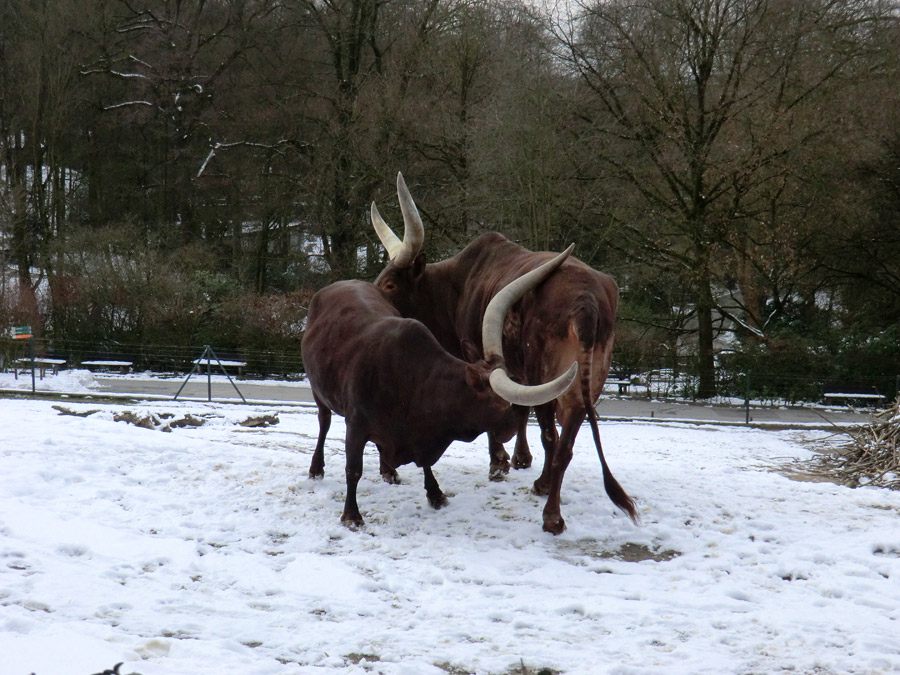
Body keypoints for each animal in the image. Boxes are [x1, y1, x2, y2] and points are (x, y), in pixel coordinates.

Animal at [302, 248, 576, 528]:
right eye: (501, 402)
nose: (511, 428)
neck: (413, 382)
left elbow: (425, 465)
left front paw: (435, 494)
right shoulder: (356, 424)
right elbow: (353, 469)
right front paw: (351, 515)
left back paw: (388, 471)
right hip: (318, 391)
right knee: (324, 422)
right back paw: (316, 468)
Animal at [370, 170, 636, 532]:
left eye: (390, 284)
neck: (457, 286)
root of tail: (588, 301)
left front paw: (499, 461)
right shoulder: (517, 368)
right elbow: (519, 410)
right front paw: (520, 458)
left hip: (547, 369)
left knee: (552, 434)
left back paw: (549, 507)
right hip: (587, 378)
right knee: (566, 438)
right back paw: (549, 497)